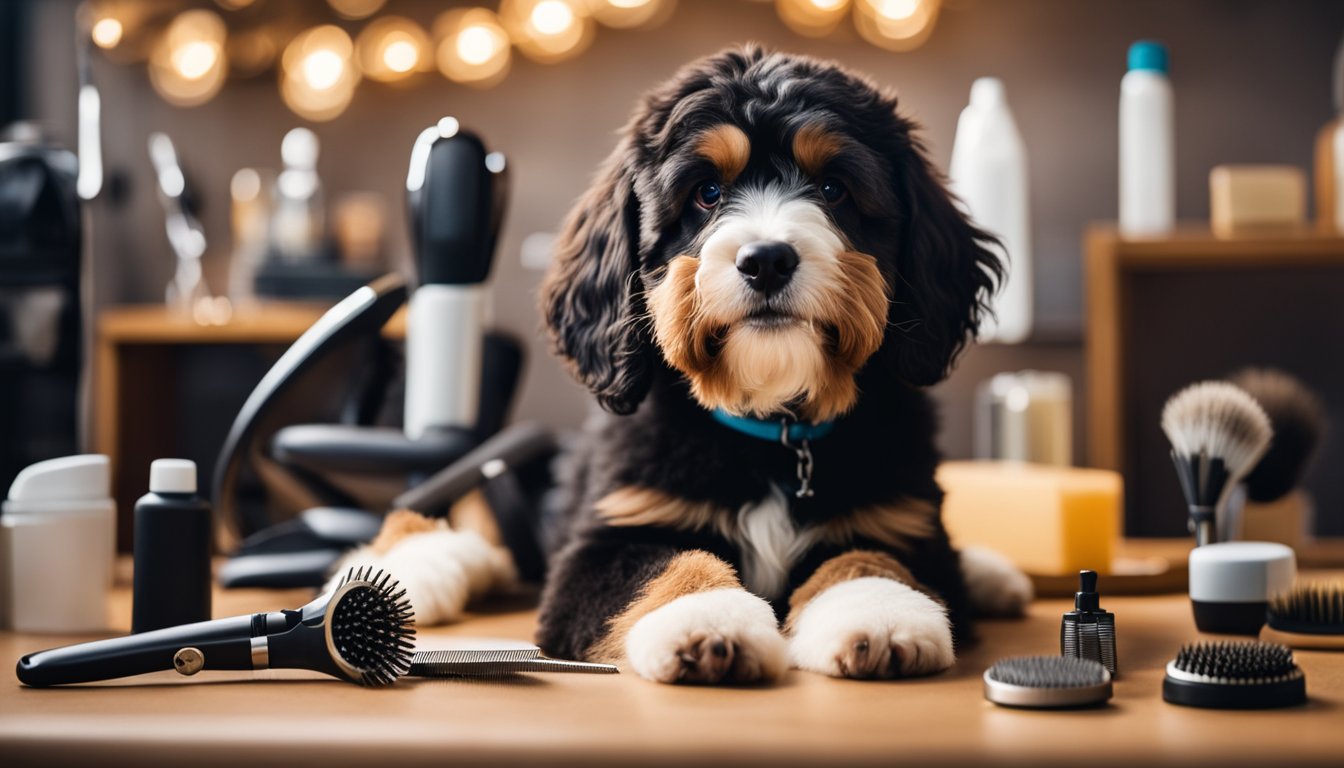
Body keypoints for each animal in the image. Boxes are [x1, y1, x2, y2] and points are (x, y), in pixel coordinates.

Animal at [529, 48, 1032, 685]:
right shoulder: (605, 541)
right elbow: (670, 566)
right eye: (707, 192)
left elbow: (868, 558)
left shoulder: (902, 522)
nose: (766, 260)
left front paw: (881, 620)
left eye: (833, 188)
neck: (776, 431)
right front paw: (708, 622)